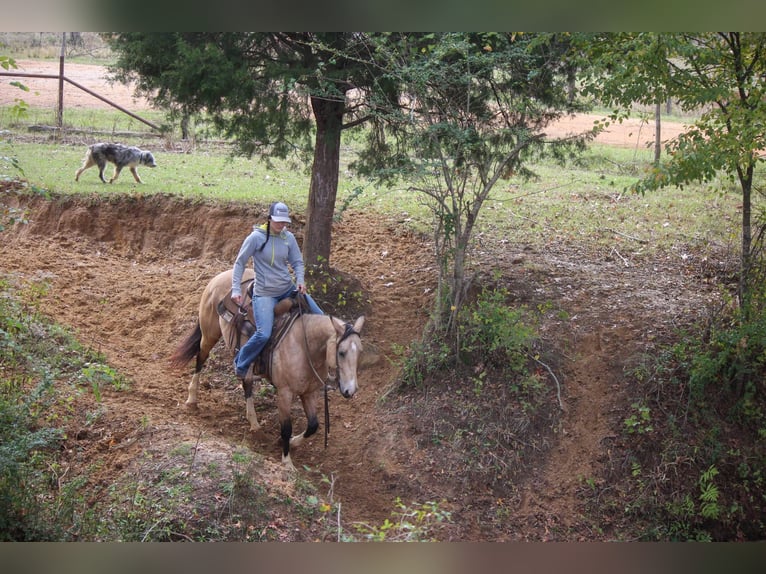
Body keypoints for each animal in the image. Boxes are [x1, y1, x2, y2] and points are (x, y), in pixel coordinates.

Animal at [170, 270, 366, 472]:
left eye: (360, 352)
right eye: (341, 352)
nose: (350, 390)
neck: (304, 346)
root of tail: (221, 275)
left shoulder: (309, 392)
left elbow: (313, 425)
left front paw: (292, 443)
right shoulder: (285, 393)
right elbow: (286, 428)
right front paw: (287, 462)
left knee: (246, 383)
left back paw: (254, 424)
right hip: (209, 334)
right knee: (200, 359)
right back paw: (192, 398)